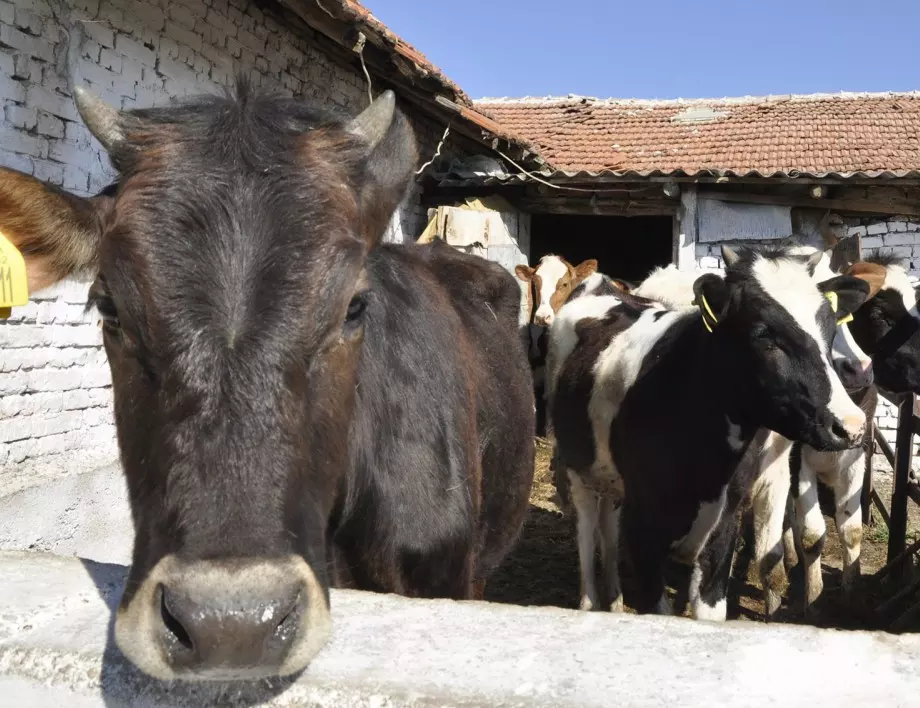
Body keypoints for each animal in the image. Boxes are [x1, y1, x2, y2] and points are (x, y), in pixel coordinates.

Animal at [548, 246, 868, 616]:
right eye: (764, 334)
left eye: (830, 330)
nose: (850, 424)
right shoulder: (643, 528)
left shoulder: (726, 522)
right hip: (578, 466)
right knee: (587, 531)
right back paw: (590, 601)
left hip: (611, 477)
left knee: (608, 528)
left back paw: (613, 601)